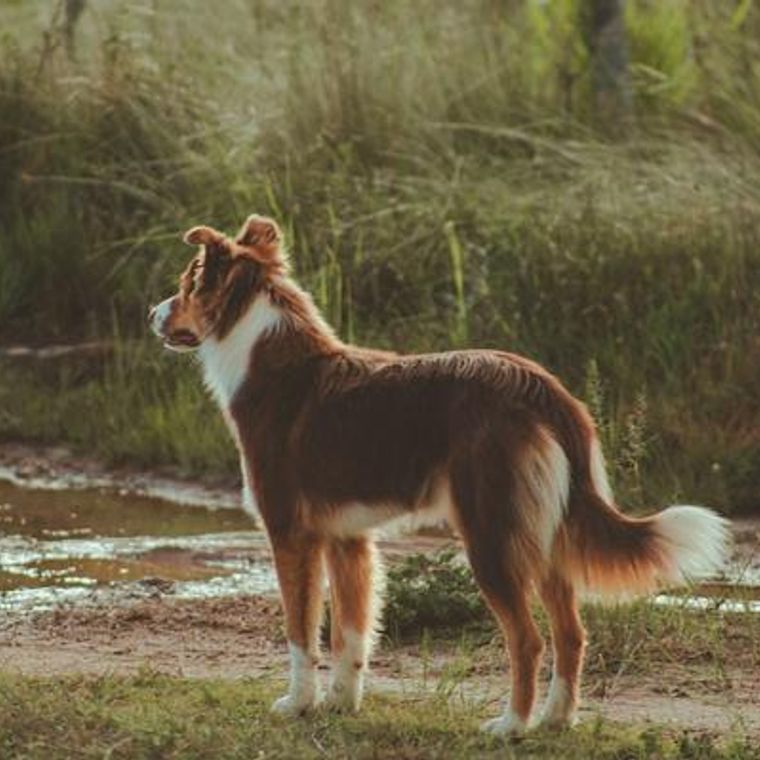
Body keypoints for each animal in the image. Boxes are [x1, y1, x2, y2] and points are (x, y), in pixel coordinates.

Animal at [150, 214, 732, 736]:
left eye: (184, 284)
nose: (152, 314)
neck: (262, 351)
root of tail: (542, 388)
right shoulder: (348, 540)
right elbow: (351, 635)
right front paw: (341, 704)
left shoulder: (292, 535)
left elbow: (301, 632)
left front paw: (298, 704)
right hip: (545, 534)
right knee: (572, 633)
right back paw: (556, 720)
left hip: (492, 535)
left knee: (529, 639)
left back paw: (511, 726)